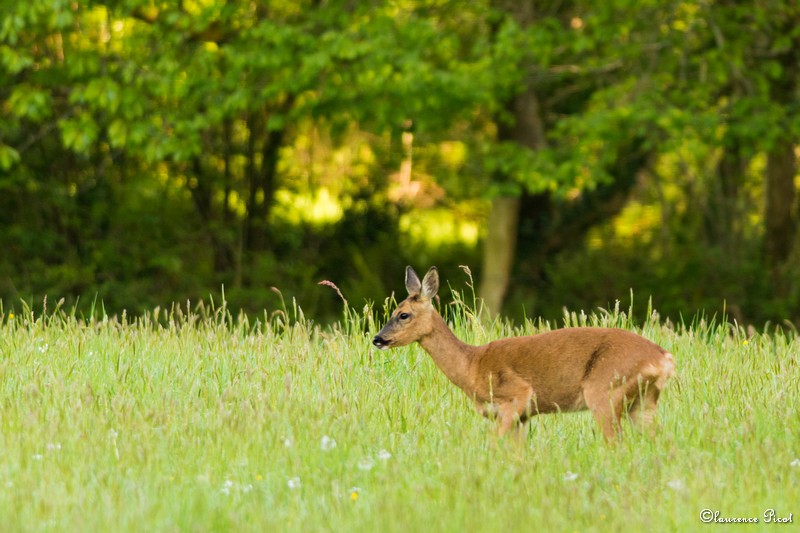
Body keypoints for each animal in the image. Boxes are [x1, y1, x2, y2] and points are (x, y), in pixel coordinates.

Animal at [370, 264, 676, 438]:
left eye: (404, 314)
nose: (378, 339)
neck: (471, 366)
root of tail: (664, 359)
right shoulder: (522, 416)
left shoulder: (516, 396)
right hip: (643, 402)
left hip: (604, 392)